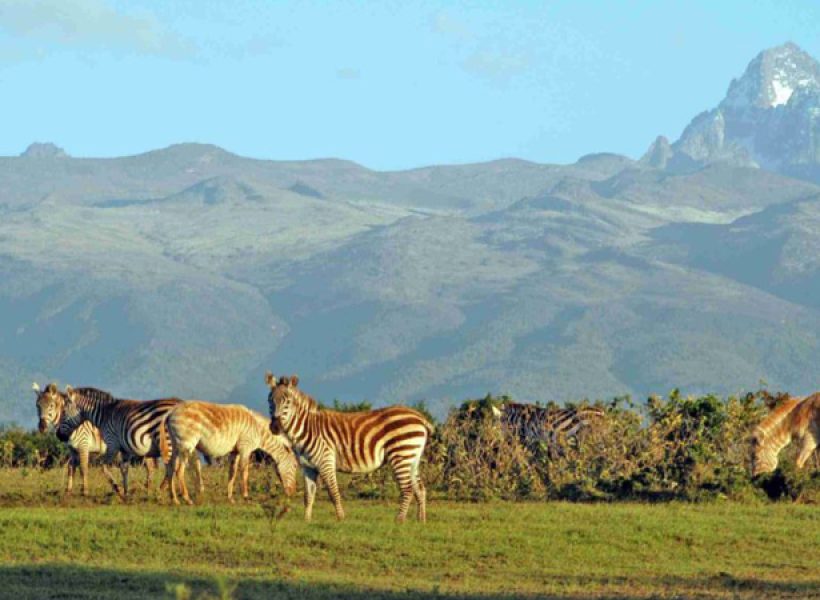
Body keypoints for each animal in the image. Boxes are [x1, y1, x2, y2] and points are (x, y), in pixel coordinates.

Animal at [56, 384, 201, 502]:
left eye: (63, 412)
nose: (58, 435)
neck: (104, 415)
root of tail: (181, 403)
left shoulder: (112, 444)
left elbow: (103, 466)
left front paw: (118, 490)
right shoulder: (124, 449)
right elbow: (124, 469)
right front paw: (126, 494)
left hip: (167, 441)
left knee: (172, 467)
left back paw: (162, 492)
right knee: (192, 463)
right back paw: (195, 491)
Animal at [158, 400, 298, 504]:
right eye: (295, 466)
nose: (292, 493)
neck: (257, 430)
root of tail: (171, 412)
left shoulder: (235, 451)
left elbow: (232, 472)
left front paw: (230, 498)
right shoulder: (245, 448)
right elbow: (244, 472)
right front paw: (246, 496)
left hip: (176, 445)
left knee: (170, 467)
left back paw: (175, 499)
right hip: (186, 445)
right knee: (179, 470)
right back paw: (187, 499)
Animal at [268, 372, 436, 524]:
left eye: (288, 402)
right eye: (270, 401)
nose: (275, 427)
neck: (306, 428)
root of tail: (420, 417)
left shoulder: (326, 461)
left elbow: (333, 492)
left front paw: (340, 519)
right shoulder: (308, 467)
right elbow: (308, 495)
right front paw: (306, 521)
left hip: (401, 455)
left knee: (407, 489)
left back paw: (399, 520)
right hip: (412, 458)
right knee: (420, 489)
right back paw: (421, 521)